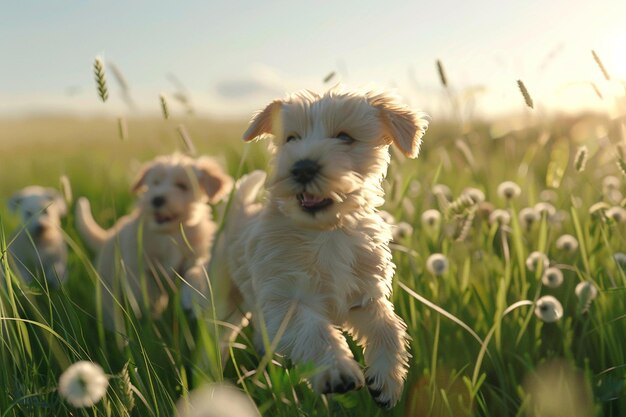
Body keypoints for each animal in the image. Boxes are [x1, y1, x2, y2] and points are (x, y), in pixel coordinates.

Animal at [76, 153, 232, 328]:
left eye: (182, 186)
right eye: (155, 183)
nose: (156, 199)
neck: (169, 234)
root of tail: (107, 237)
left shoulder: (194, 257)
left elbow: (191, 275)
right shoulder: (139, 266)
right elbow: (148, 290)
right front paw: (151, 313)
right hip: (108, 283)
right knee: (110, 308)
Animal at [217, 87, 426, 406]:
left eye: (345, 137)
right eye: (291, 139)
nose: (302, 167)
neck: (326, 234)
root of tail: (240, 211)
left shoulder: (364, 296)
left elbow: (388, 328)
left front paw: (387, 381)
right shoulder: (285, 299)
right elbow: (314, 331)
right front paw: (336, 370)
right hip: (221, 302)